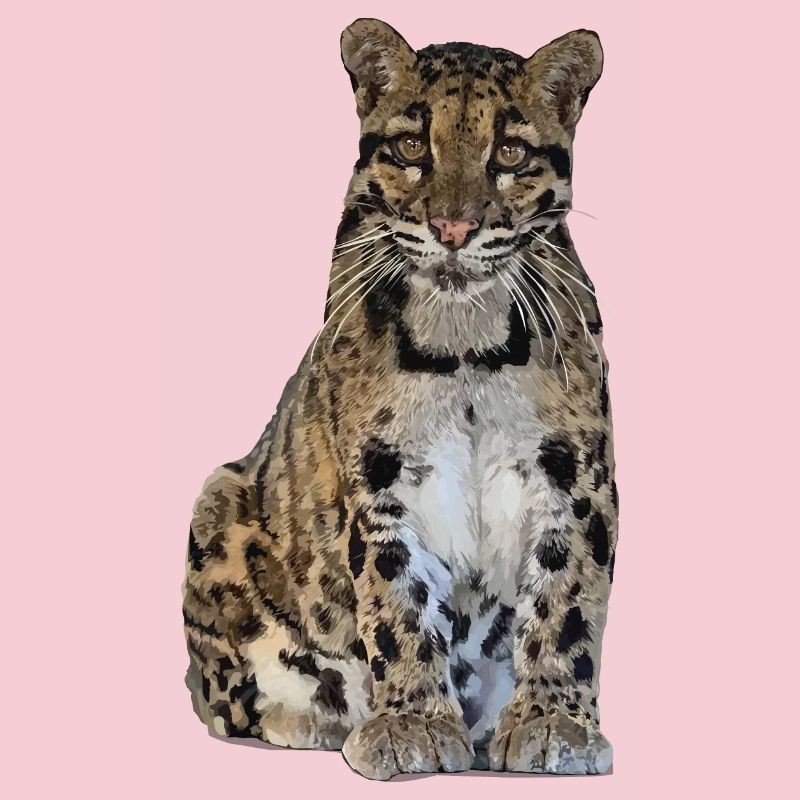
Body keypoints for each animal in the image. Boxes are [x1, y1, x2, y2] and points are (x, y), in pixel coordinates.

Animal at [182, 18, 617, 779]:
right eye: (414, 146)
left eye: (509, 152)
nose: (453, 229)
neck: (466, 344)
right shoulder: (378, 477)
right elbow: (397, 601)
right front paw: (412, 722)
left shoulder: (575, 475)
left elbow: (566, 600)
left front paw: (552, 721)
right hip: (218, 501)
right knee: (229, 698)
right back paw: (321, 718)